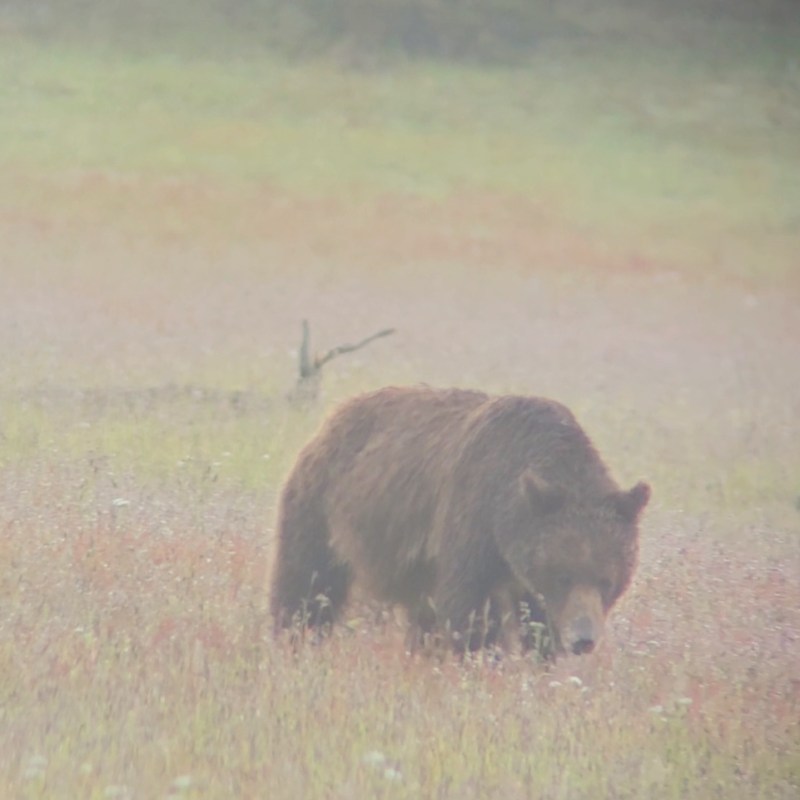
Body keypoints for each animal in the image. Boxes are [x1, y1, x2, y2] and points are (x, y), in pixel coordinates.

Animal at [270, 385, 650, 657]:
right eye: (563, 575)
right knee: (307, 584)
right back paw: (291, 639)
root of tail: (334, 416)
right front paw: (482, 658)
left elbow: (536, 624)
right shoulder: (472, 520)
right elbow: (470, 611)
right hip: (321, 508)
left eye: (607, 580)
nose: (584, 638)